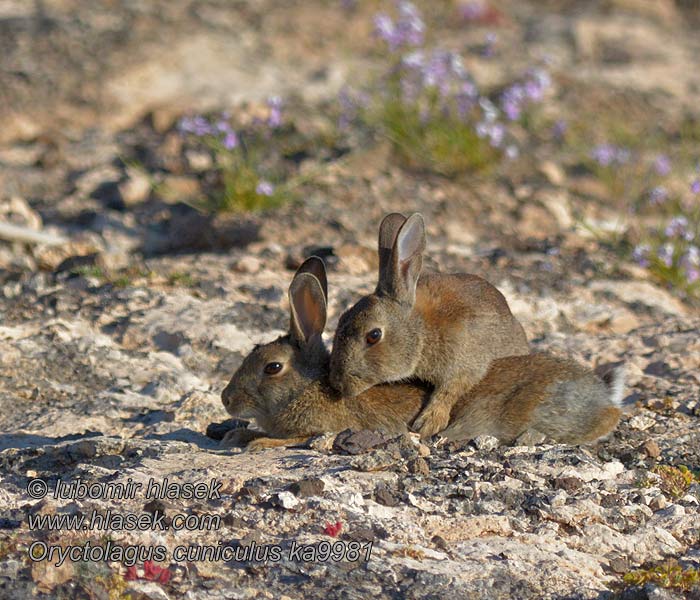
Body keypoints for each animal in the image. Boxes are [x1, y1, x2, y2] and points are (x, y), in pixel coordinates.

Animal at [220, 255, 624, 448]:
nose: (226, 400)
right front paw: (235, 436)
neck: (307, 389)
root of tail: (602, 391)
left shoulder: (323, 428)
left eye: (272, 367)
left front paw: (258, 442)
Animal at [330, 213, 532, 438]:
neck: (422, 332)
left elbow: (450, 390)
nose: (338, 384)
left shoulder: (464, 364)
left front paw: (427, 424)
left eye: (374, 335)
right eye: (341, 319)